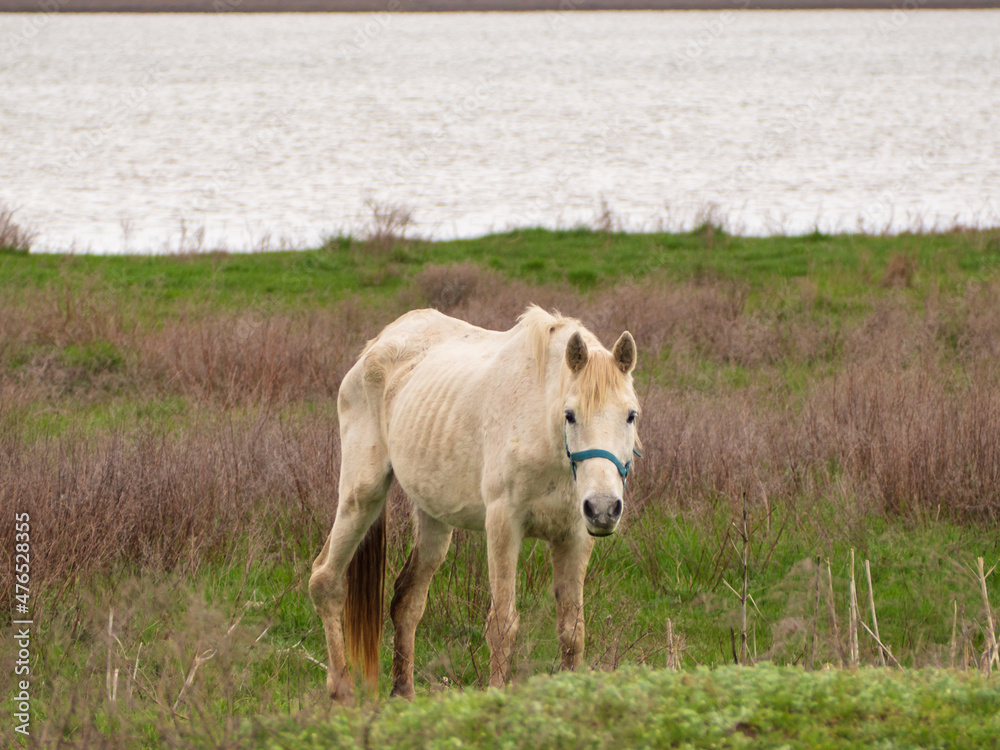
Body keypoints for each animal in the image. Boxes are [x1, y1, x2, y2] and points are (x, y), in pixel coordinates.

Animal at [309, 305, 641, 701]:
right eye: (570, 415)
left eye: (631, 415)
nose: (604, 508)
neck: (543, 432)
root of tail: (378, 343)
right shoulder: (503, 525)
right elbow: (502, 625)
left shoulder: (575, 536)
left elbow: (572, 630)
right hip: (362, 495)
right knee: (325, 580)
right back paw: (341, 690)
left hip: (433, 516)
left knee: (407, 600)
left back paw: (403, 693)